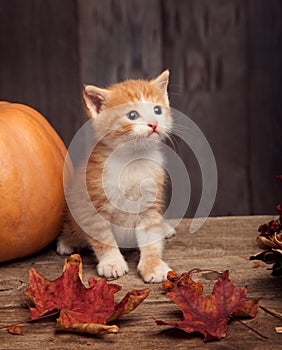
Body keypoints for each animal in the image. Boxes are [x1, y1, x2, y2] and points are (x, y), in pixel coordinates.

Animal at [57, 69, 174, 284]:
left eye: (157, 110)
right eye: (132, 115)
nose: (154, 124)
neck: (132, 161)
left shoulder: (150, 203)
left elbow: (150, 236)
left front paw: (153, 264)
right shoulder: (92, 204)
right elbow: (102, 236)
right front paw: (112, 263)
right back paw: (66, 242)